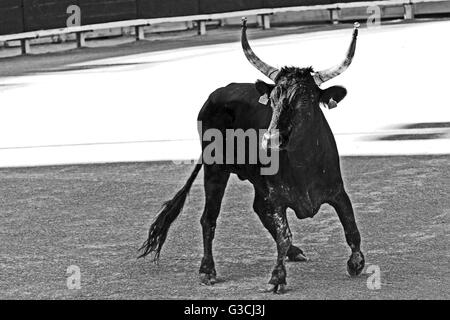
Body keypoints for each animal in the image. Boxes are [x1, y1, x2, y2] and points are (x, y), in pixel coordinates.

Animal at [140, 19, 366, 292]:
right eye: (273, 99)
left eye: (307, 100)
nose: (270, 140)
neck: (303, 163)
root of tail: (218, 93)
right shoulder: (277, 196)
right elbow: (283, 233)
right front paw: (277, 277)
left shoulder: (337, 190)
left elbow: (351, 226)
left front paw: (356, 263)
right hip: (215, 169)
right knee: (209, 218)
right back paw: (207, 270)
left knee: (258, 208)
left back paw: (294, 252)